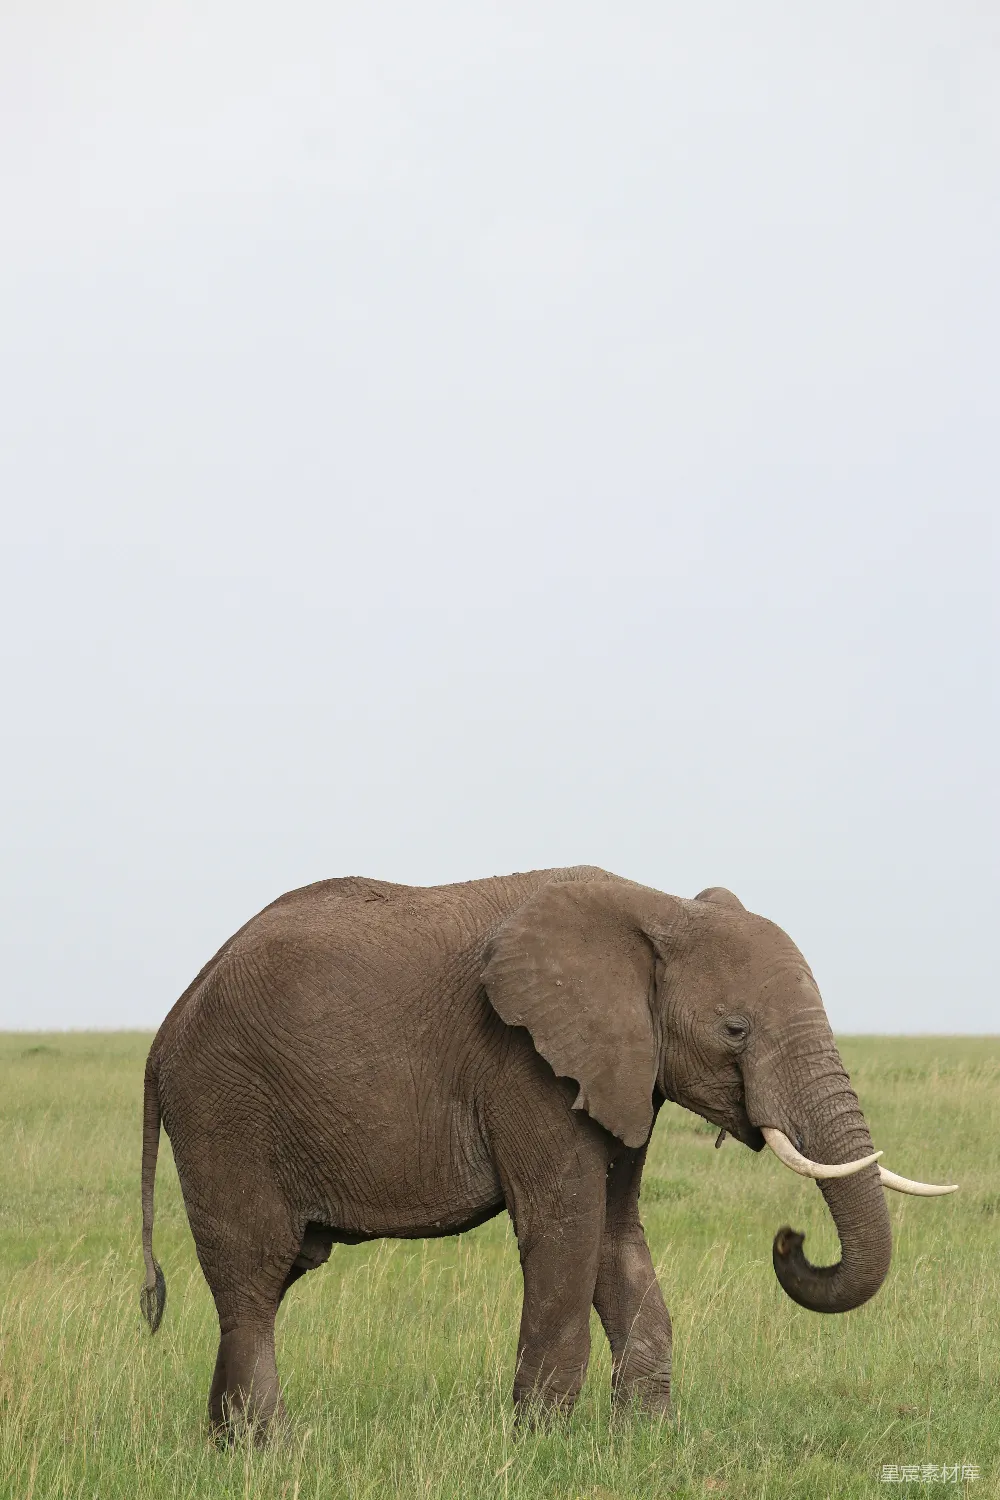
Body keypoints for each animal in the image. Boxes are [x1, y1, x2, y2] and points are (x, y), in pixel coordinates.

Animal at [139, 866, 956, 1439]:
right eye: (735, 1030)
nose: (791, 1239)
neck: (655, 909)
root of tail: (166, 1026)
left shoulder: (621, 1070)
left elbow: (616, 1235)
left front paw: (646, 1443)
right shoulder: (524, 1064)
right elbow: (565, 1229)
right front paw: (541, 1447)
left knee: (268, 1282)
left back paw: (228, 1446)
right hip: (223, 1112)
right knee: (254, 1275)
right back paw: (269, 1451)